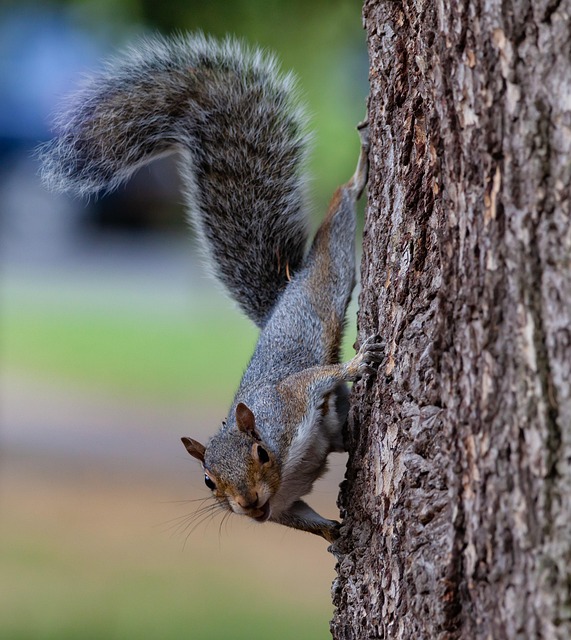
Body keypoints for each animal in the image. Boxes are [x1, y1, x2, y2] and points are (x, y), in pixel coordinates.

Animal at [38, 33, 382, 543]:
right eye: (207, 481)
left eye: (261, 452)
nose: (249, 505)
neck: (283, 467)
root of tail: (283, 295)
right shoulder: (284, 506)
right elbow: (303, 517)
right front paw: (334, 535)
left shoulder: (289, 403)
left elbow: (316, 378)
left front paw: (359, 362)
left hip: (322, 284)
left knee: (334, 238)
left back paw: (358, 174)